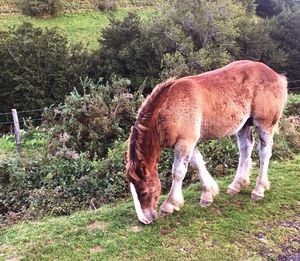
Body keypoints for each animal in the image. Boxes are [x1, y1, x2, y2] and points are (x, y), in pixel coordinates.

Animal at [125, 60, 288, 223]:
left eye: (143, 192)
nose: (145, 220)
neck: (168, 106)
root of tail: (277, 76)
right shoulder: (189, 142)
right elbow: (198, 163)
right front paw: (208, 194)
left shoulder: (185, 143)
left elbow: (178, 172)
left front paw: (169, 205)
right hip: (244, 125)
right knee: (245, 149)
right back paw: (236, 185)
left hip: (265, 124)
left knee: (264, 152)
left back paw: (259, 190)